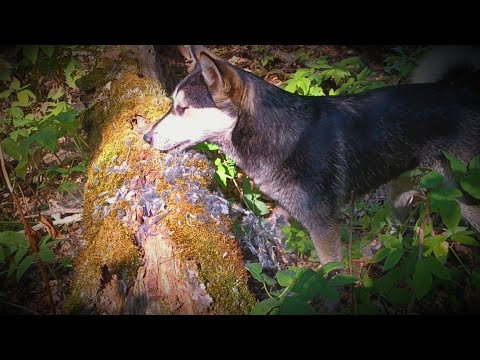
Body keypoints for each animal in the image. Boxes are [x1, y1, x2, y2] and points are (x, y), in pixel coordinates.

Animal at [143, 44, 480, 264]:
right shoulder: (292, 213)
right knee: (396, 227)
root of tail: (463, 90)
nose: (146, 137)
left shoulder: (322, 227)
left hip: (466, 197)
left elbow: (330, 275)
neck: (280, 136)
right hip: (401, 184)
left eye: (182, 108)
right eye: (174, 105)